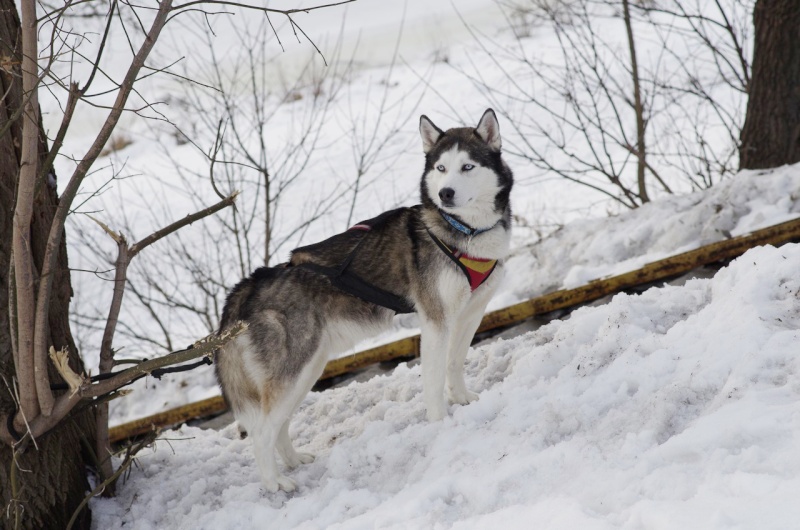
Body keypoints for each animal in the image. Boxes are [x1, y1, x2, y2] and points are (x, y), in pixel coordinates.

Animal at [216, 108, 512, 490]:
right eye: (441, 168)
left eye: (468, 167)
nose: (445, 193)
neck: (464, 232)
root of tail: (252, 282)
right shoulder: (435, 322)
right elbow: (433, 381)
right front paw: (441, 422)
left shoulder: (469, 314)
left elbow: (454, 363)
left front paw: (462, 400)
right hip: (295, 370)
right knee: (261, 433)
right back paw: (275, 484)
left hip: (308, 369)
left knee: (278, 425)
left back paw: (294, 462)